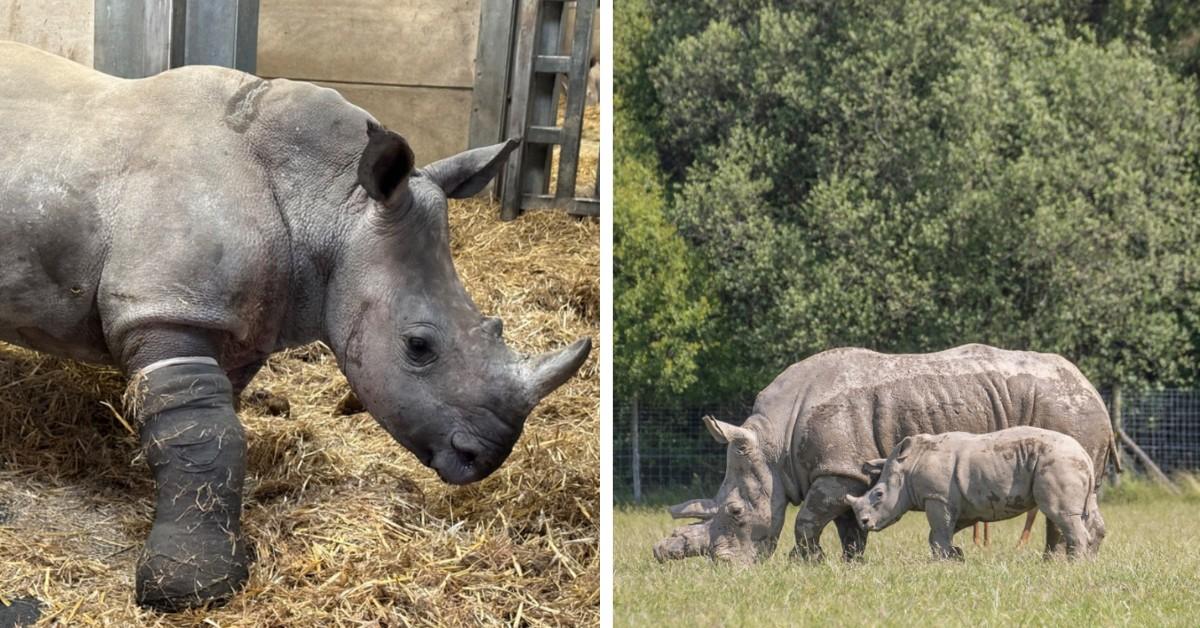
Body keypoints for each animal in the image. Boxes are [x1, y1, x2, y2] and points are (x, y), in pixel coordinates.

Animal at [0, 41, 590, 612]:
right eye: (418, 346)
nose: (484, 458)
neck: (328, 202)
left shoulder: (240, 328)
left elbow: (214, 432)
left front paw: (147, 470)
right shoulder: (168, 305)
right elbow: (204, 431)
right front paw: (190, 590)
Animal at [840, 427, 1099, 559]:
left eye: (879, 494)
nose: (863, 522)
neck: (909, 466)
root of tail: (1084, 454)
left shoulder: (938, 497)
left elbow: (939, 533)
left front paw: (943, 562)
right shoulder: (959, 503)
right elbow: (940, 533)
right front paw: (956, 556)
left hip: (1059, 461)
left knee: (1061, 514)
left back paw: (1073, 566)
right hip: (1070, 463)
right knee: (1085, 514)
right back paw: (1087, 564)